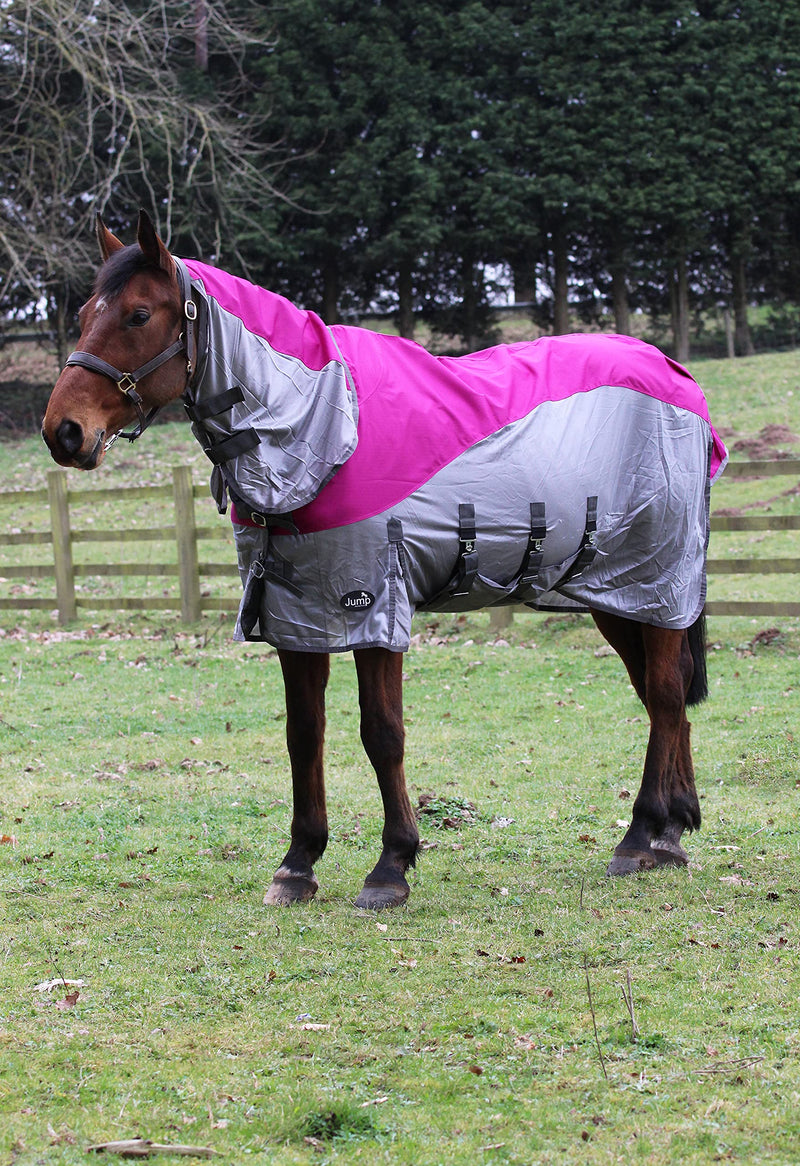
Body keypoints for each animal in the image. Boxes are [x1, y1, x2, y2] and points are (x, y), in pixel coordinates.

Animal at [42, 211, 727, 909]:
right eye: (84, 314)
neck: (322, 426)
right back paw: (674, 828)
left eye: (138, 314)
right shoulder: (294, 617)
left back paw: (642, 834)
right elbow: (303, 734)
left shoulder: (372, 605)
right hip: (614, 594)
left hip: (653, 577)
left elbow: (382, 732)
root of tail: (677, 378)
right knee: (662, 692)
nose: (63, 431)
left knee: (664, 694)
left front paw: (391, 865)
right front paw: (298, 863)